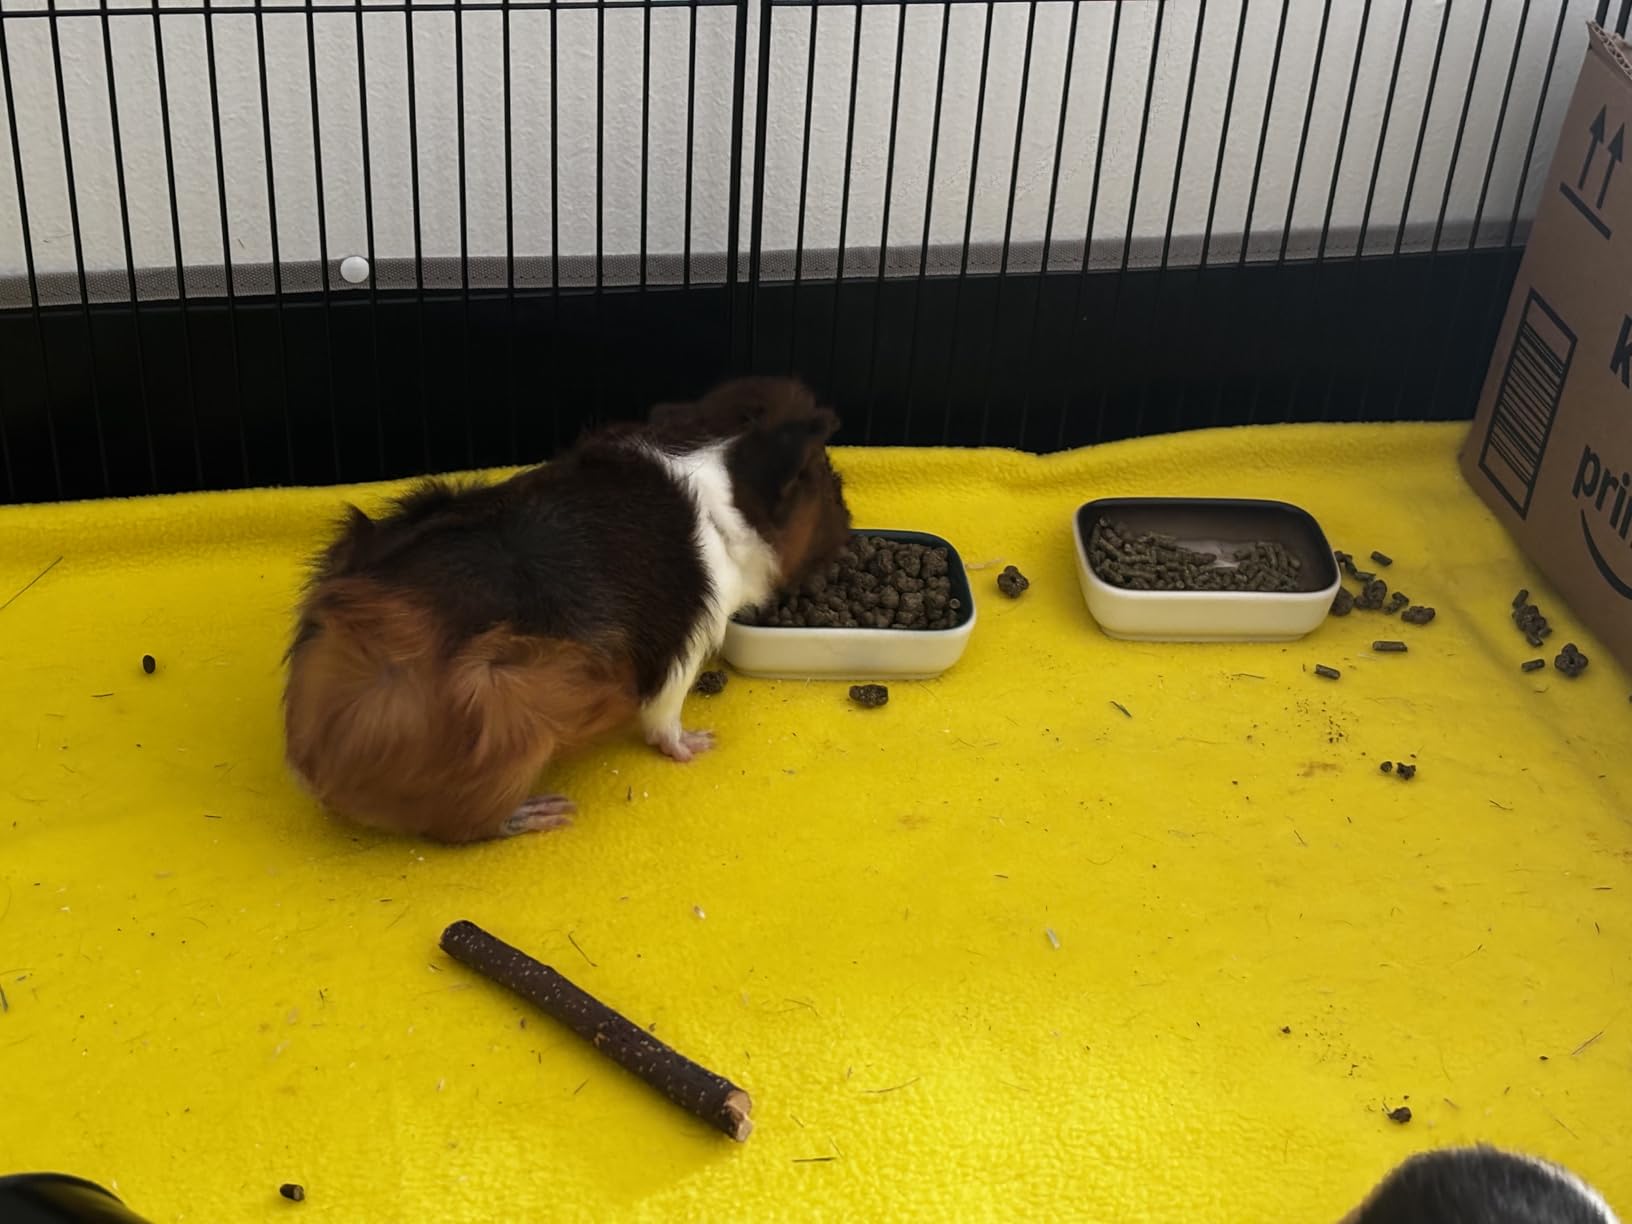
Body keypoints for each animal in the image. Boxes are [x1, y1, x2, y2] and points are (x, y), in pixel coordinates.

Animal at [282, 376, 852, 844]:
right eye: (827, 480)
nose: (847, 521)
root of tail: (312, 757)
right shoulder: (683, 652)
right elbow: (664, 721)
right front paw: (698, 744)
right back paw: (544, 813)